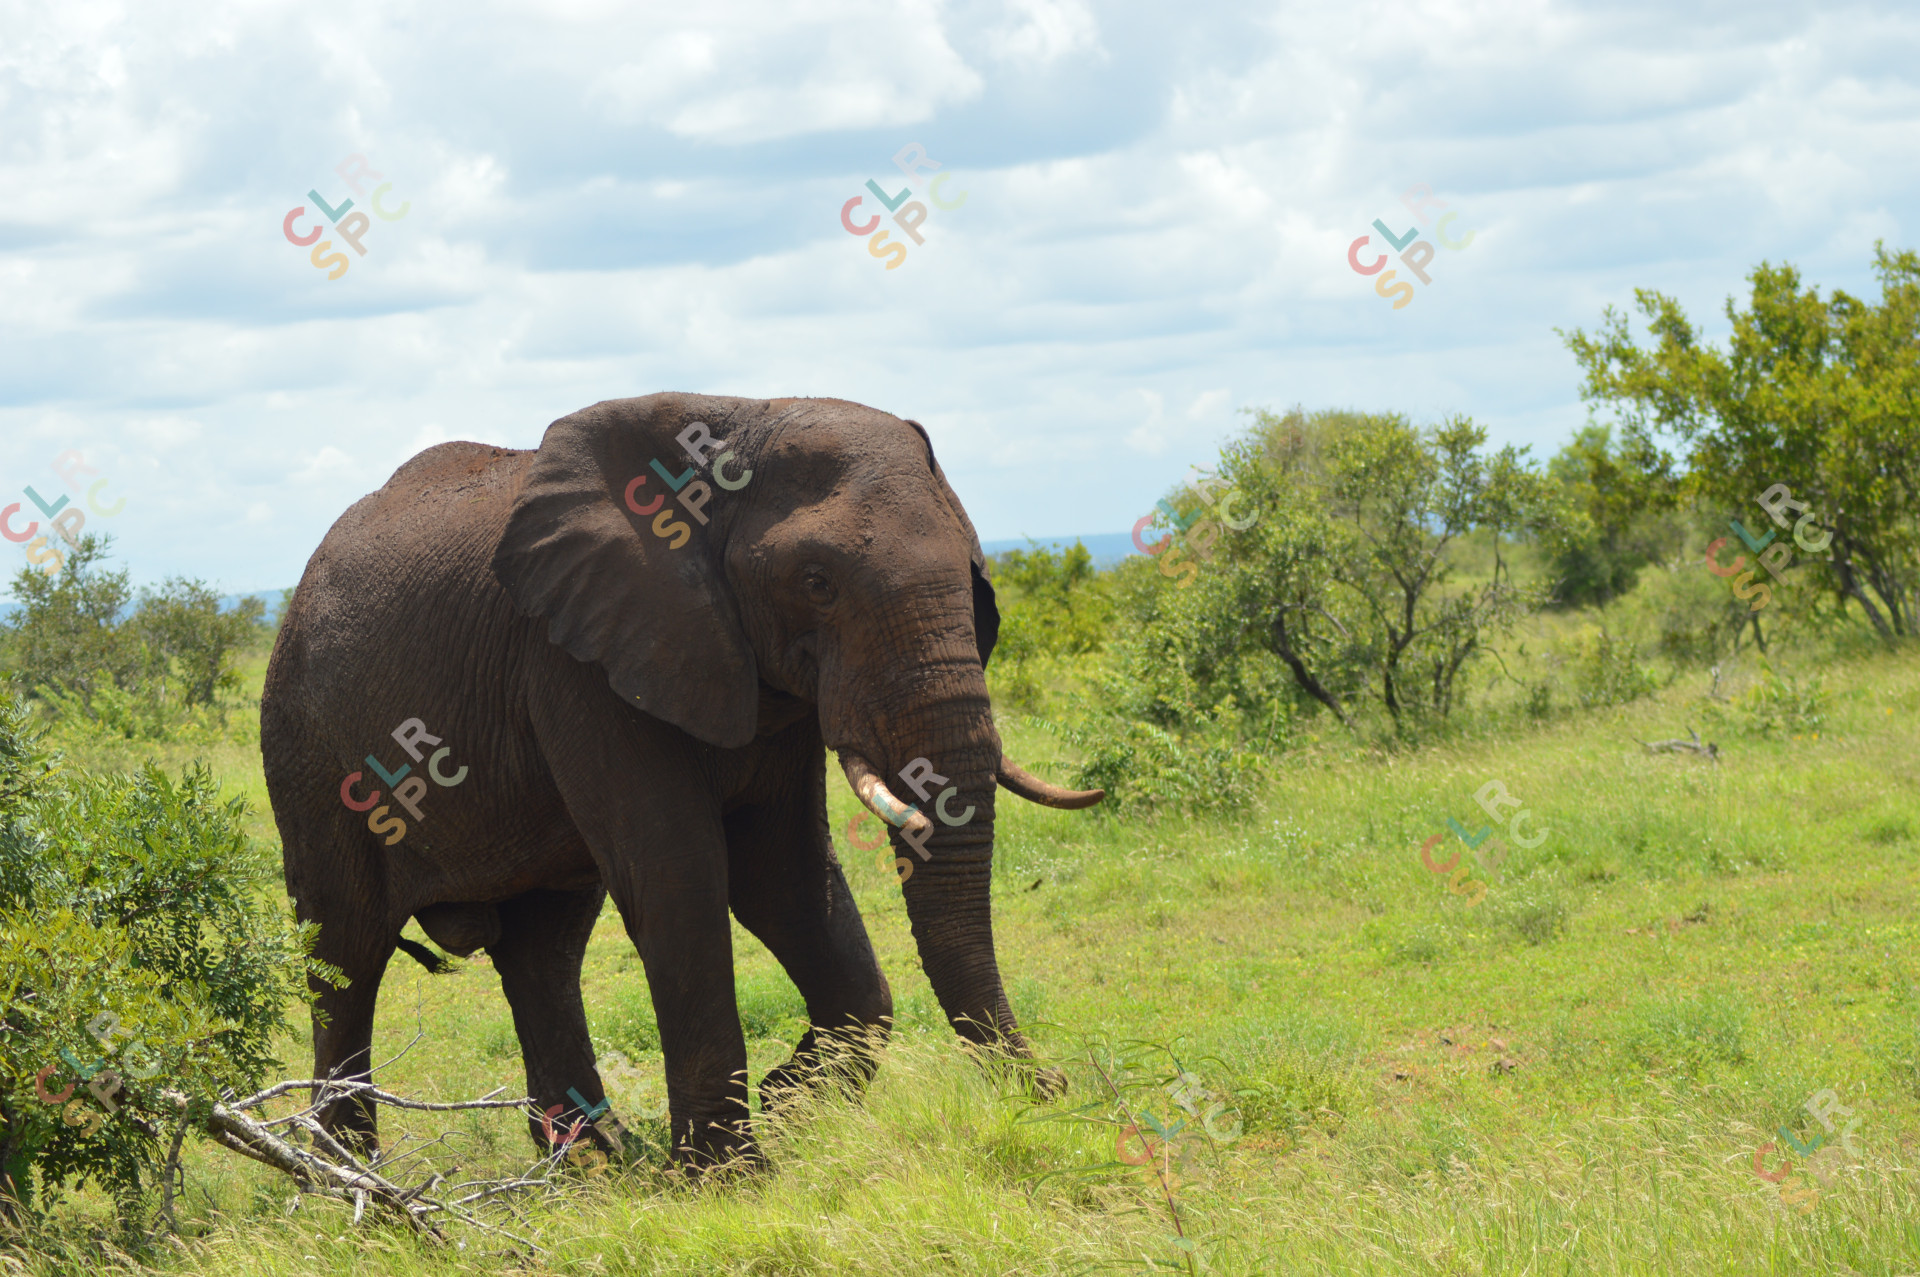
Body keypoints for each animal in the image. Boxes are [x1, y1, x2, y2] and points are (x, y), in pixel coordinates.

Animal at [260, 392, 1104, 1168]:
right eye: (817, 581)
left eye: (972, 575)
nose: (1056, 1085)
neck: (740, 424)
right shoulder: (579, 662)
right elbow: (681, 875)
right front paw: (733, 1177)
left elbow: (784, 875)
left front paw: (783, 1106)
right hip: (308, 751)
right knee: (347, 952)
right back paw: (348, 1181)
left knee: (544, 952)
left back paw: (594, 1166)